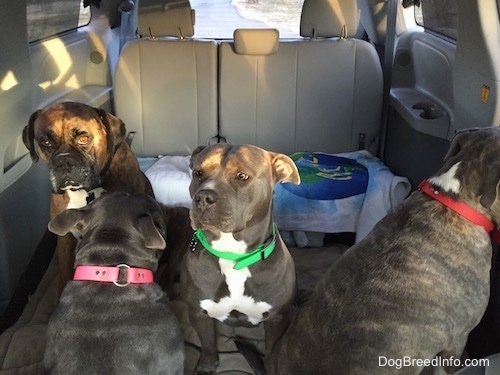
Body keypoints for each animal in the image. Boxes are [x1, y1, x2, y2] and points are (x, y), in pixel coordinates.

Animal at [22, 101, 154, 292]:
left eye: (83, 139)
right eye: (45, 142)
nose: (63, 161)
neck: (86, 193)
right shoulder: (64, 238)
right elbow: (64, 274)